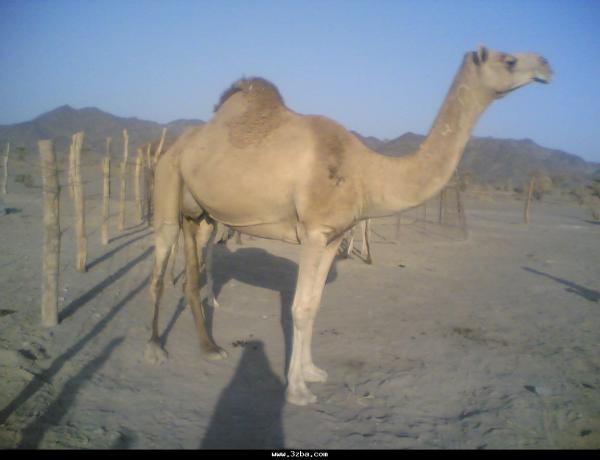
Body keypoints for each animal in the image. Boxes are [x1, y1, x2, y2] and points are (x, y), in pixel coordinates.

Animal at [146, 46, 552, 405]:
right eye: (509, 59)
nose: (546, 65)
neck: (367, 173)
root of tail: (179, 144)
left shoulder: (333, 236)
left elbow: (314, 305)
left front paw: (312, 372)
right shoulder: (314, 232)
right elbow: (299, 308)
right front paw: (297, 391)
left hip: (201, 214)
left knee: (194, 270)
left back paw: (210, 348)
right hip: (167, 181)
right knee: (160, 263)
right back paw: (155, 348)